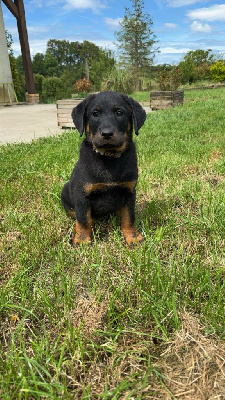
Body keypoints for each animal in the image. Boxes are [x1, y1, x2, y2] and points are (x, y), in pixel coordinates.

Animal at [60, 92, 147, 245]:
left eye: (119, 112)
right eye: (95, 114)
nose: (107, 134)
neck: (109, 157)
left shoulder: (129, 191)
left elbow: (129, 218)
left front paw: (133, 237)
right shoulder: (82, 196)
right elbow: (84, 220)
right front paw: (82, 240)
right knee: (76, 217)